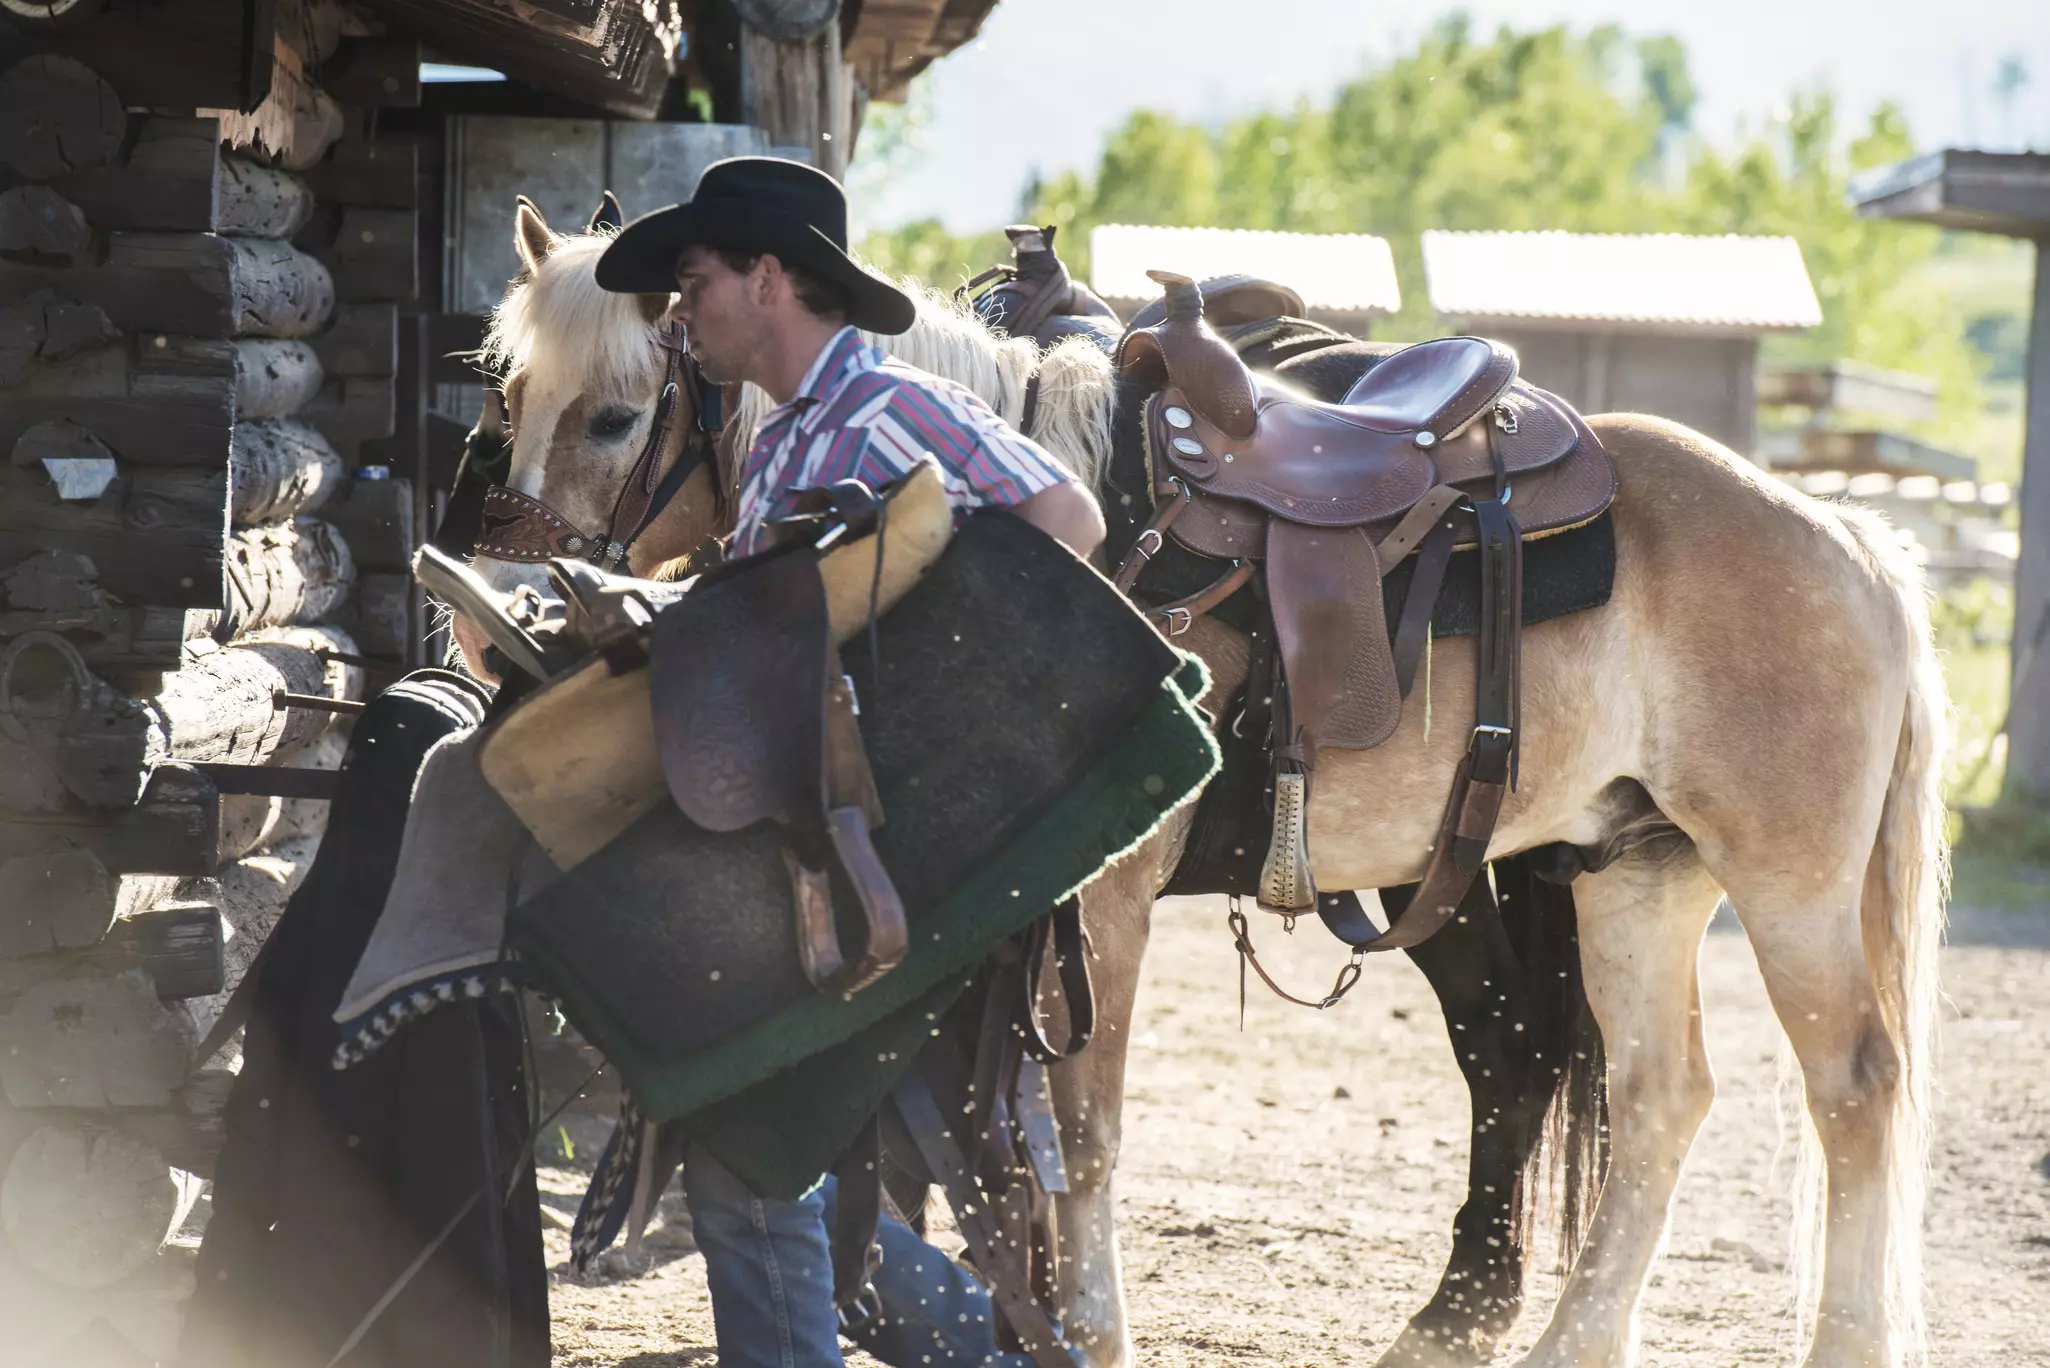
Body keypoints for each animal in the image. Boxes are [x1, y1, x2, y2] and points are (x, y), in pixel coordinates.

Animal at [457, 202, 1947, 1368]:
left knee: (1853, 1088)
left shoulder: (1104, 899)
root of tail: (1845, 539)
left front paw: (1090, 1333)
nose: (491, 623)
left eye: (617, 413)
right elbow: (989, 1138)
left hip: (1783, 881)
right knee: (1651, 1098)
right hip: (1631, 874)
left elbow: (1081, 1129)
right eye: (503, 401)